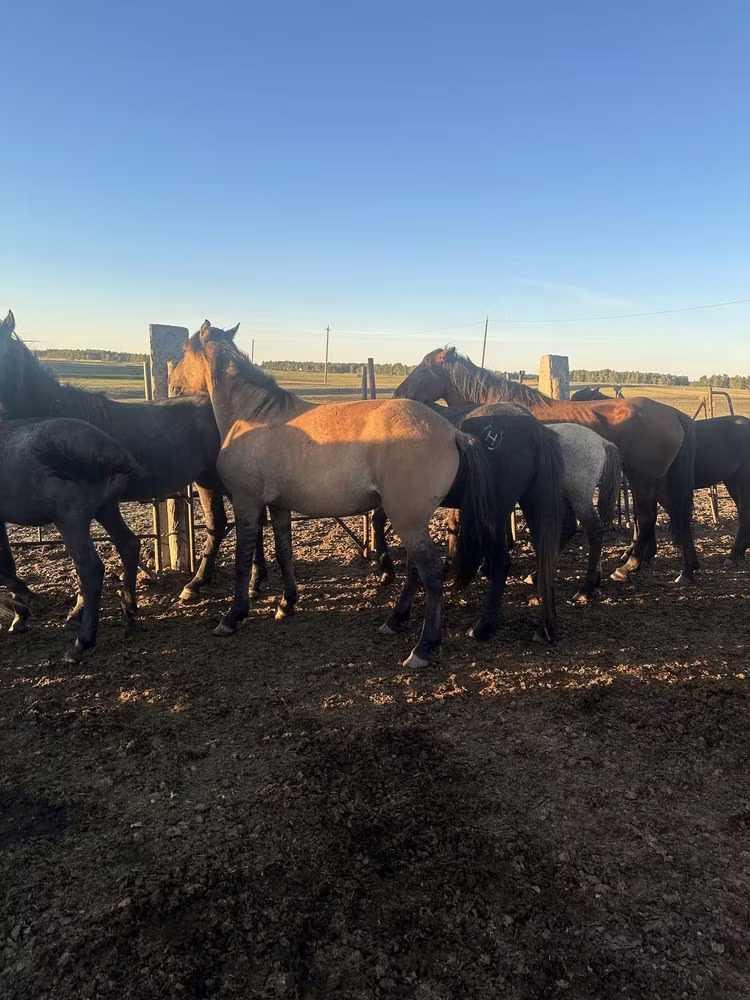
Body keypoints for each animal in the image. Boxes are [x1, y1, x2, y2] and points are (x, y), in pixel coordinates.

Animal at [0, 417, 140, 663]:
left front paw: (30, 600)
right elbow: (7, 564)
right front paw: (20, 616)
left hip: (71, 520)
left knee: (90, 569)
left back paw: (81, 643)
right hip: (107, 509)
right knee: (128, 546)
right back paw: (128, 610)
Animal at [168, 321, 499, 668]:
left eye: (184, 351)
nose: (172, 386)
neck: (255, 416)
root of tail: (453, 431)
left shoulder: (247, 503)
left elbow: (242, 561)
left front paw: (233, 616)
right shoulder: (279, 507)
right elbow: (284, 553)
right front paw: (286, 603)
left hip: (406, 519)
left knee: (431, 573)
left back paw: (423, 647)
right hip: (413, 520)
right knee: (414, 570)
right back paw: (395, 620)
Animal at [395, 348, 699, 585]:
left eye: (422, 370)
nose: (399, 394)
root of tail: (673, 414)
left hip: (642, 481)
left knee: (647, 519)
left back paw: (628, 566)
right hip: (657, 482)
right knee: (676, 513)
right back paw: (687, 569)